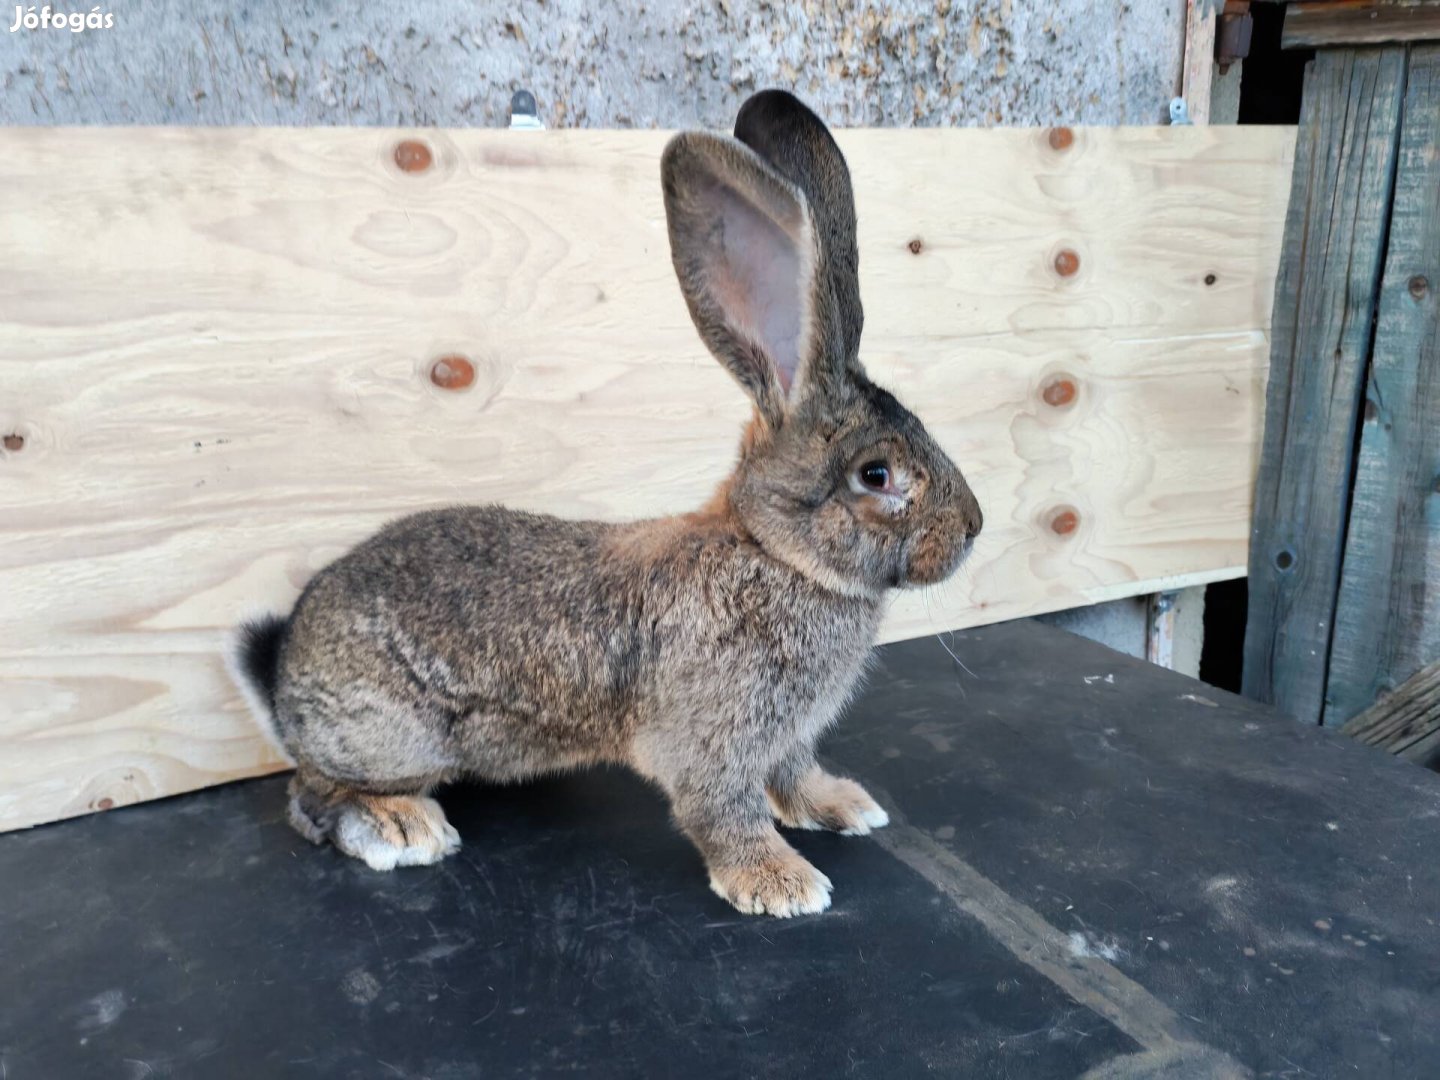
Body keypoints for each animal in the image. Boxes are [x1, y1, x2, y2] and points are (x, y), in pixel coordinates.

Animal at [228, 89, 982, 918]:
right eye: (877, 475)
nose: (974, 528)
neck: (774, 554)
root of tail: (280, 673)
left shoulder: (787, 738)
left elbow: (794, 775)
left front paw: (843, 805)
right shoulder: (711, 741)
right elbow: (723, 811)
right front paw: (780, 883)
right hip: (395, 738)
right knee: (311, 795)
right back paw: (401, 827)